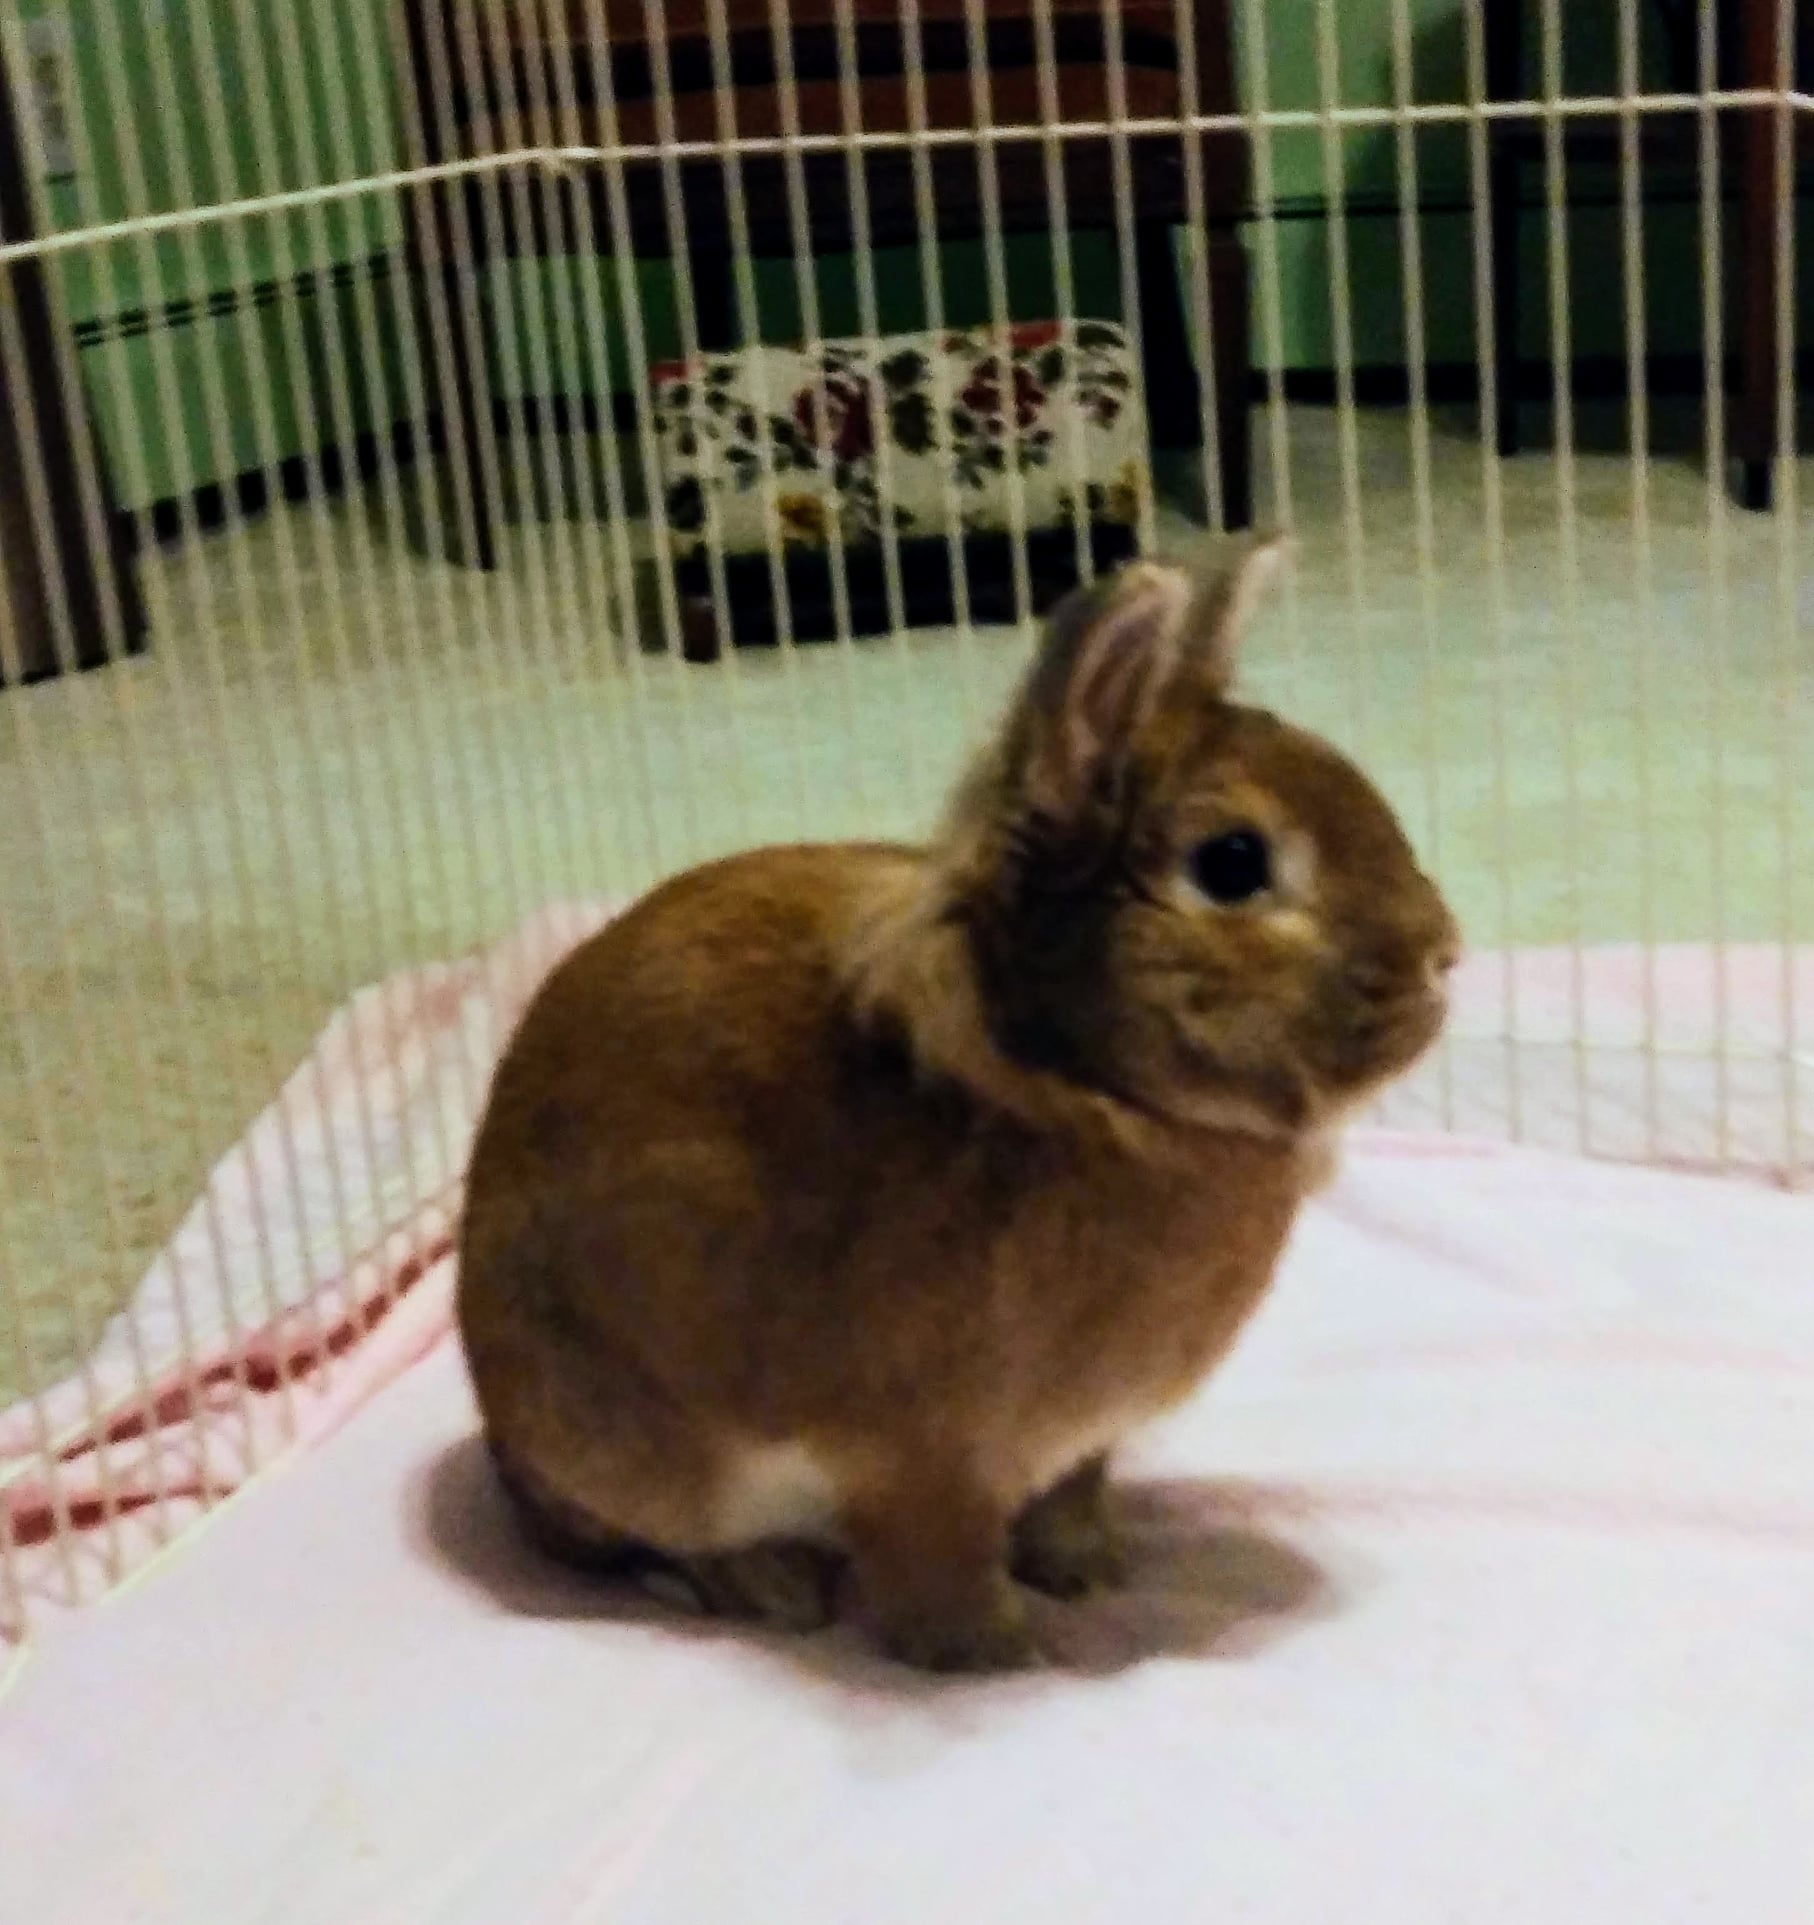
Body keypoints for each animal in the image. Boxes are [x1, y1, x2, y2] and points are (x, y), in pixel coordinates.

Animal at [458, 537, 1459, 1672]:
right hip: (630, 1438)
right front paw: (998, 1652)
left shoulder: (1073, 1446)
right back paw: (775, 1587)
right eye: (1233, 862)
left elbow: (1068, 1503)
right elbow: (936, 1573)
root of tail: (507, 1459)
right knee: (658, 1541)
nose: (1443, 954)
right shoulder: (922, 1461)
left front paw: (1090, 1575)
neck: (1077, 1083)